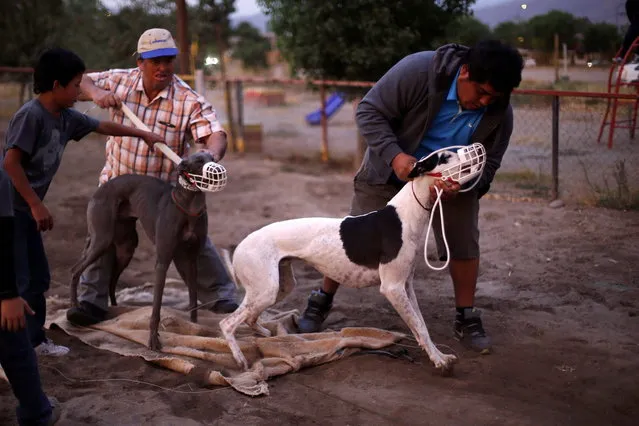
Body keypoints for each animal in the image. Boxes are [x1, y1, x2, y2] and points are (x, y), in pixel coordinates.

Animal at [69, 151, 215, 352]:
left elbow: (193, 298)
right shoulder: (162, 262)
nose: (216, 169)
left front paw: (195, 328)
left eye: (213, 158)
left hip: (126, 248)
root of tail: (101, 188)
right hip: (101, 240)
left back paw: (118, 313)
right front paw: (153, 340)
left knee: (112, 281)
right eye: (199, 161)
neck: (189, 206)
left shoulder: (191, 261)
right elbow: (156, 308)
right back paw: (76, 306)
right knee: (76, 270)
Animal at [220, 150, 460, 372]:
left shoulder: (406, 286)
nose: (470, 148)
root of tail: (239, 248)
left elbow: (421, 325)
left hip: (279, 286)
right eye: (445, 156)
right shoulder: (393, 288)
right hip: (266, 290)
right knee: (228, 323)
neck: (405, 215)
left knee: (250, 317)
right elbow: (418, 326)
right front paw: (438, 360)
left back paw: (266, 334)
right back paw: (240, 359)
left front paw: (440, 355)